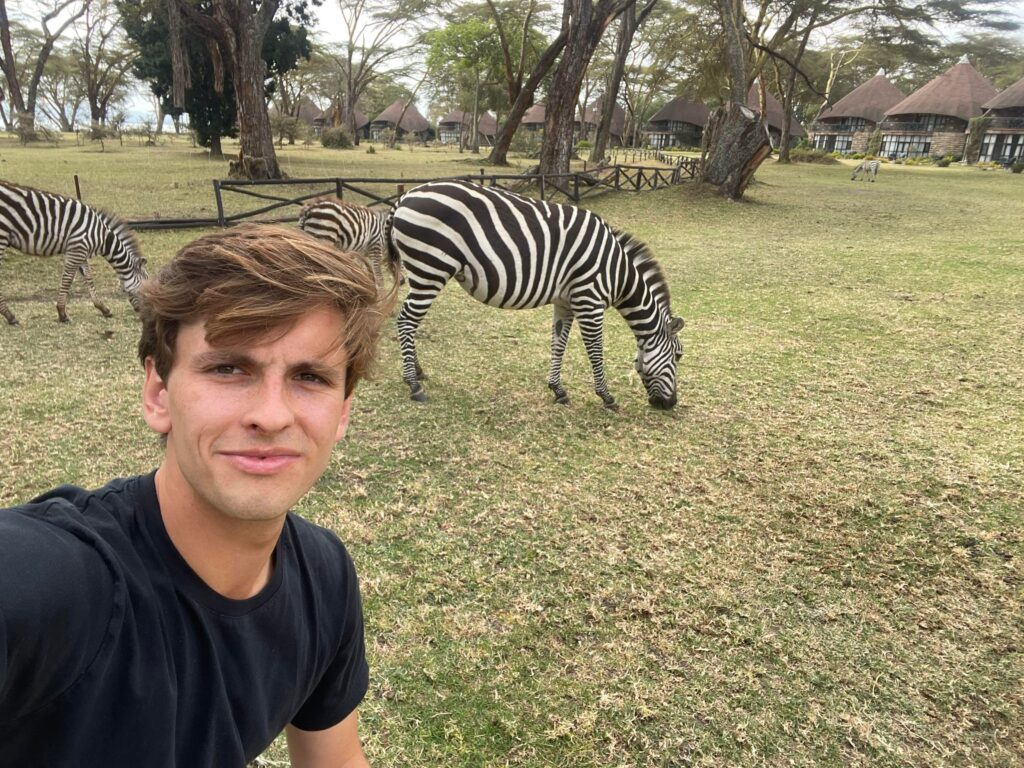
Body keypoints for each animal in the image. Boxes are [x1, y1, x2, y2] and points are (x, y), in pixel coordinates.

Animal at [0, 182, 149, 325]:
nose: (144, 315)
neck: (102, 236)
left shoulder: (81, 251)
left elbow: (89, 278)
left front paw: (103, 309)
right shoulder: (77, 249)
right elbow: (67, 280)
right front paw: (62, 313)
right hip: (2, 236)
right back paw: (10, 316)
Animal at [387, 180, 684, 411]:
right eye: (679, 356)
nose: (671, 404)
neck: (618, 272)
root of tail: (405, 196)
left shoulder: (566, 302)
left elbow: (558, 343)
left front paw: (558, 389)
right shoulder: (589, 299)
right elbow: (596, 350)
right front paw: (606, 397)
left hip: (423, 273)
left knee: (410, 322)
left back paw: (417, 373)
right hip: (430, 269)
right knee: (406, 321)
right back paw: (413, 384)